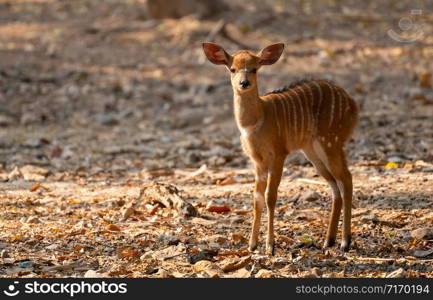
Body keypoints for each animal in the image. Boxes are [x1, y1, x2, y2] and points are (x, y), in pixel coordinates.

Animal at [202, 42, 358, 253]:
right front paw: (252, 245)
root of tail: (353, 104)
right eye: (232, 69)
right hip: (312, 150)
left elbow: (271, 196)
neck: (254, 122)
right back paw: (329, 241)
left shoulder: (278, 154)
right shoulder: (257, 160)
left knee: (346, 179)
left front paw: (270, 246)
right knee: (335, 185)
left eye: (255, 69)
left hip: (331, 142)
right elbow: (257, 197)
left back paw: (345, 242)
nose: (244, 83)